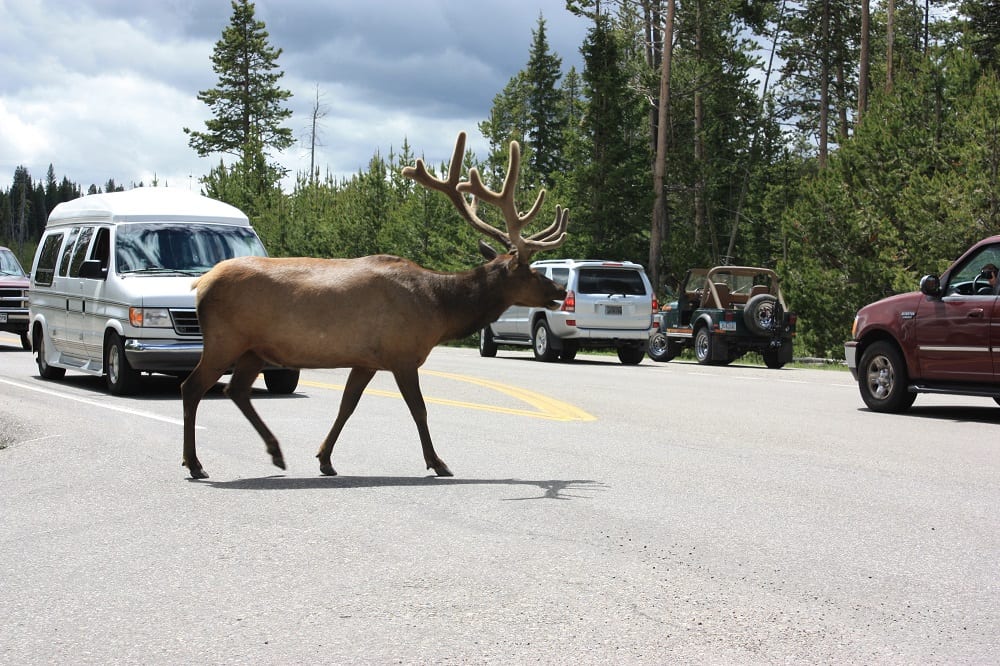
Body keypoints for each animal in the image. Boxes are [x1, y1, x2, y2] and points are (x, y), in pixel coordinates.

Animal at [181, 131, 572, 478]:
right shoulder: (402, 354)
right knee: (193, 387)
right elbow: (419, 410)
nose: (560, 289)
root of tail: (201, 283)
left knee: (236, 389)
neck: (440, 309)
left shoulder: (366, 359)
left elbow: (347, 406)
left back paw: (275, 453)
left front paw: (325, 459)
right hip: (225, 340)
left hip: (254, 349)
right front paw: (438, 462)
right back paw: (195, 464)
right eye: (531, 272)